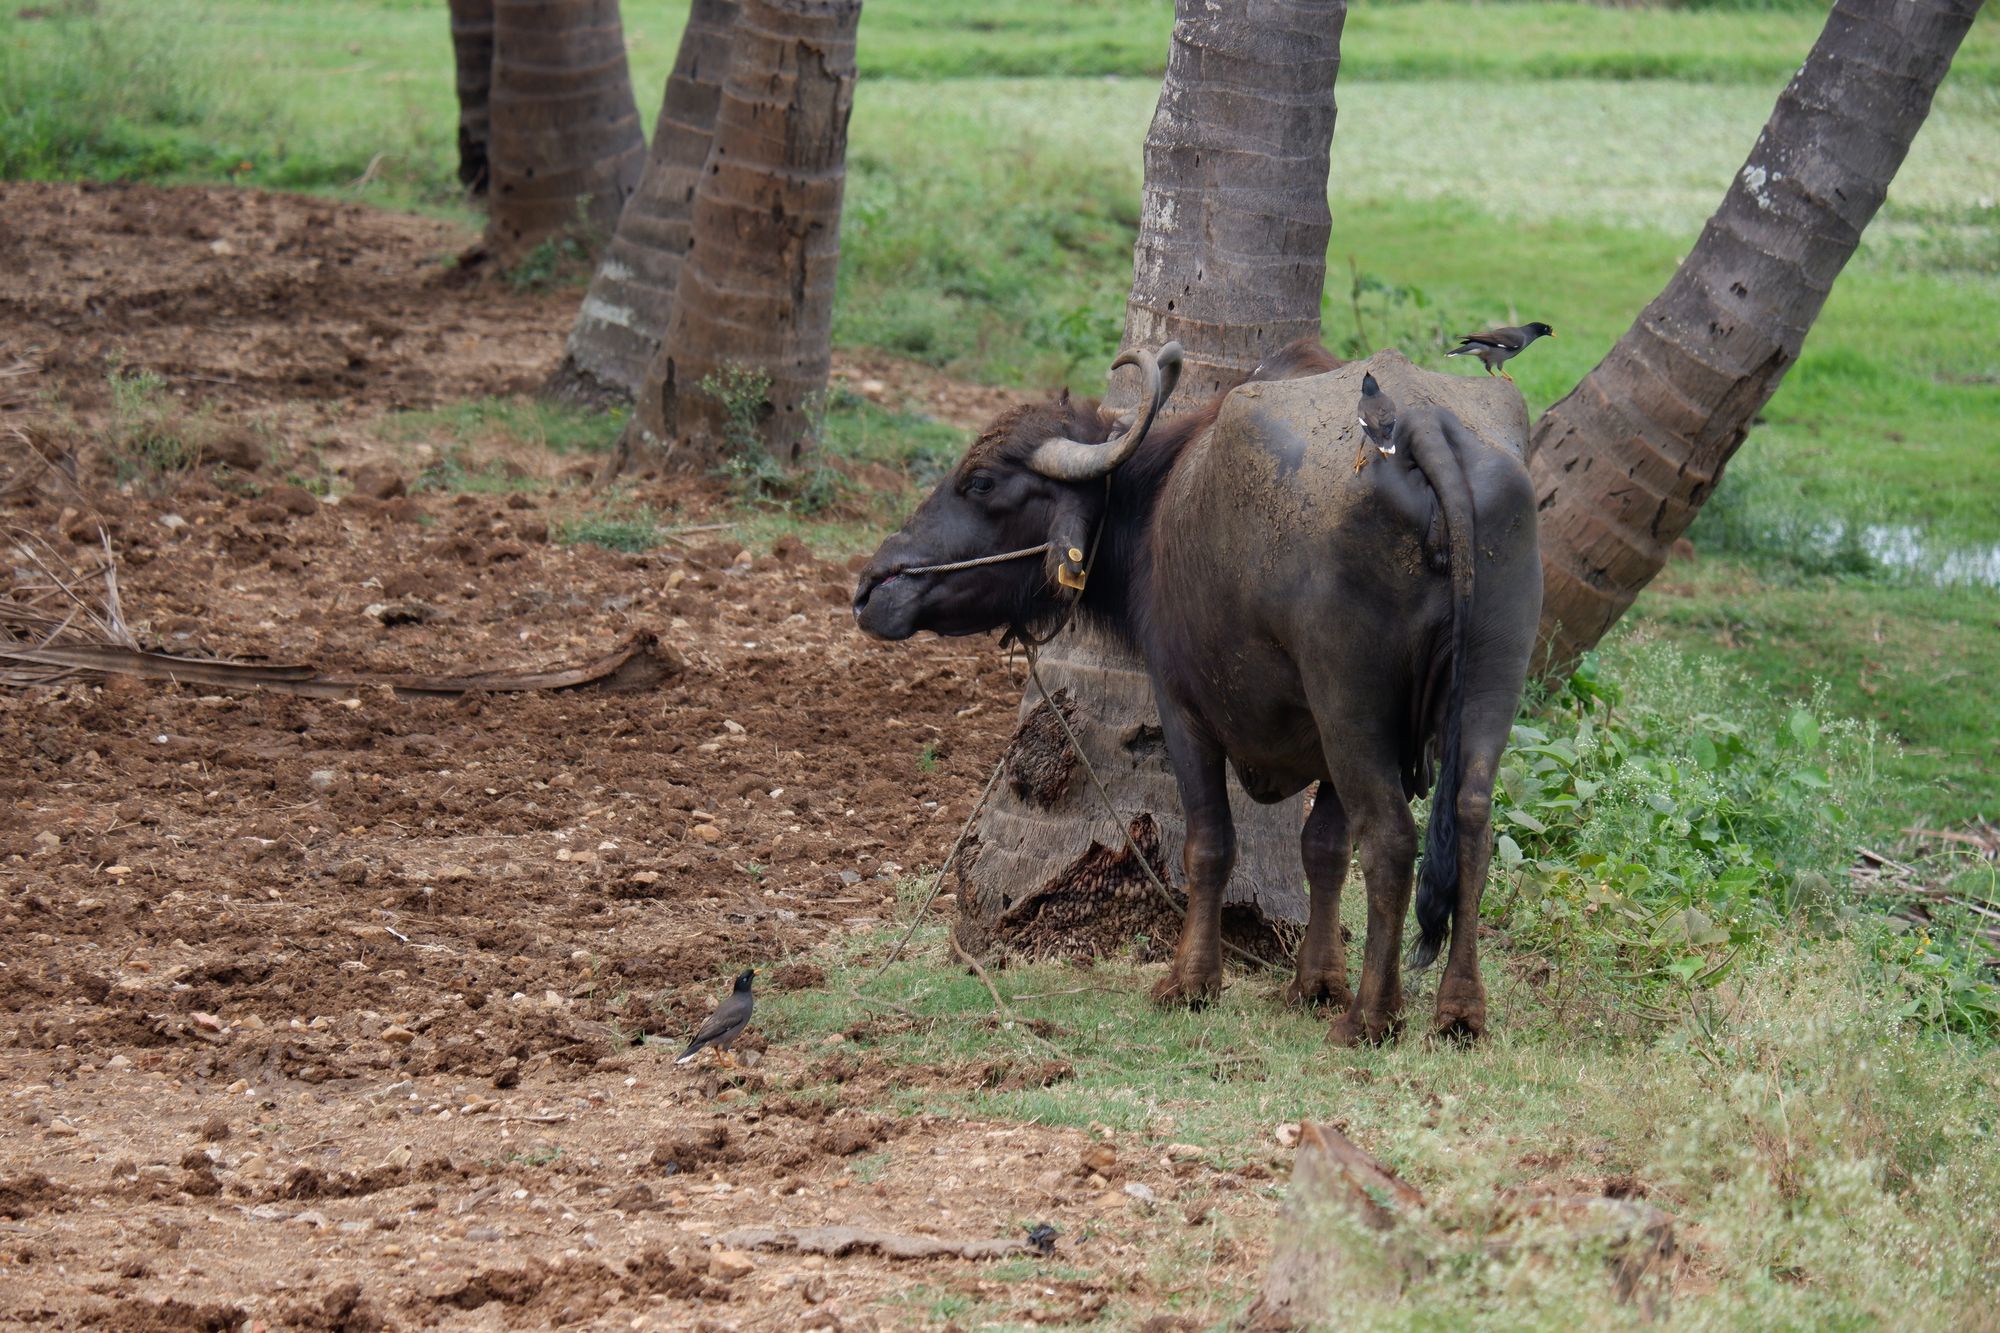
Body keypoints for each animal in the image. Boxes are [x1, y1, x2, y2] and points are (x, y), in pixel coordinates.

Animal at [852, 340, 1536, 1040]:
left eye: (981, 482)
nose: (872, 587)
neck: (1161, 497)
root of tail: (1424, 424)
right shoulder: (1331, 741)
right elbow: (1321, 848)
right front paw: (1314, 983)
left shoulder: (1183, 708)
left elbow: (1210, 844)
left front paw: (1190, 981)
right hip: (1486, 686)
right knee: (1472, 822)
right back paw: (1459, 1011)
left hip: (1353, 707)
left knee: (1392, 838)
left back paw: (1370, 1016)